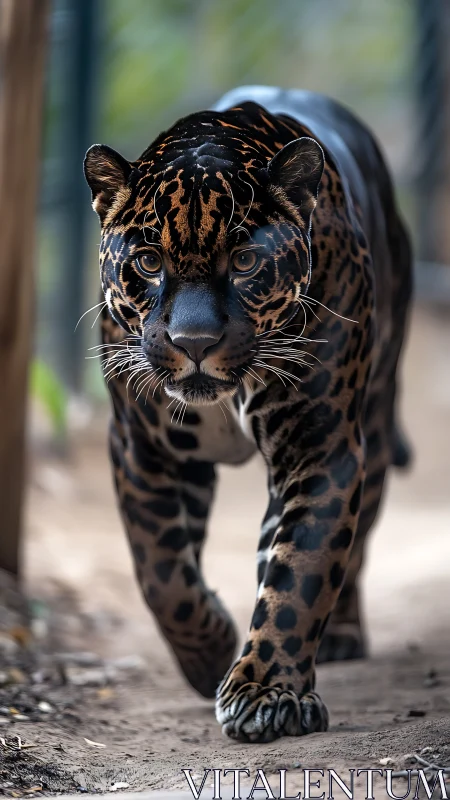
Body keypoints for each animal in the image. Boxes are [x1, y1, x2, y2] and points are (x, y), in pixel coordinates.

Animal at [84, 85, 412, 743]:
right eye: (150, 262)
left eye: (243, 262)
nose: (194, 342)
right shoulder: (142, 447)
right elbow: (161, 569)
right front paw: (210, 652)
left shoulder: (319, 446)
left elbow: (301, 571)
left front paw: (266, 692)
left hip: (377, 416)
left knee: (353, 540)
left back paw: (340, 634)